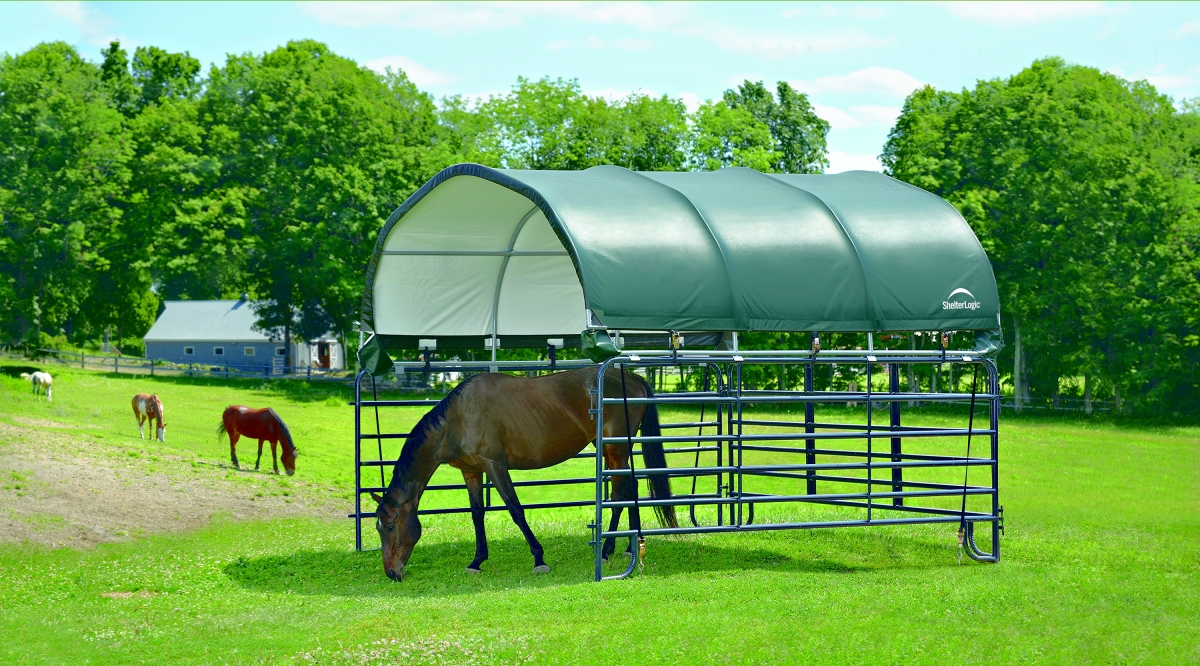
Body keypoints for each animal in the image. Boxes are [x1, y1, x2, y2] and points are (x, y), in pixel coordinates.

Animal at [369, 367, 681, 580]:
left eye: (390, 526)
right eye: (378, 528)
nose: (392, 573)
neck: (457, 418)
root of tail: (632, 378)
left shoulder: (495, 466)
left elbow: (516, 510)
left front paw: (539, 559)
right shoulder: (472, 472)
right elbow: (477, 514)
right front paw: (477, 561)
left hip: (615, 449)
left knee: (618, 492)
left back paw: (606, 550)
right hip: (613, 449)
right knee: (630, 486)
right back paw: (629, 545)